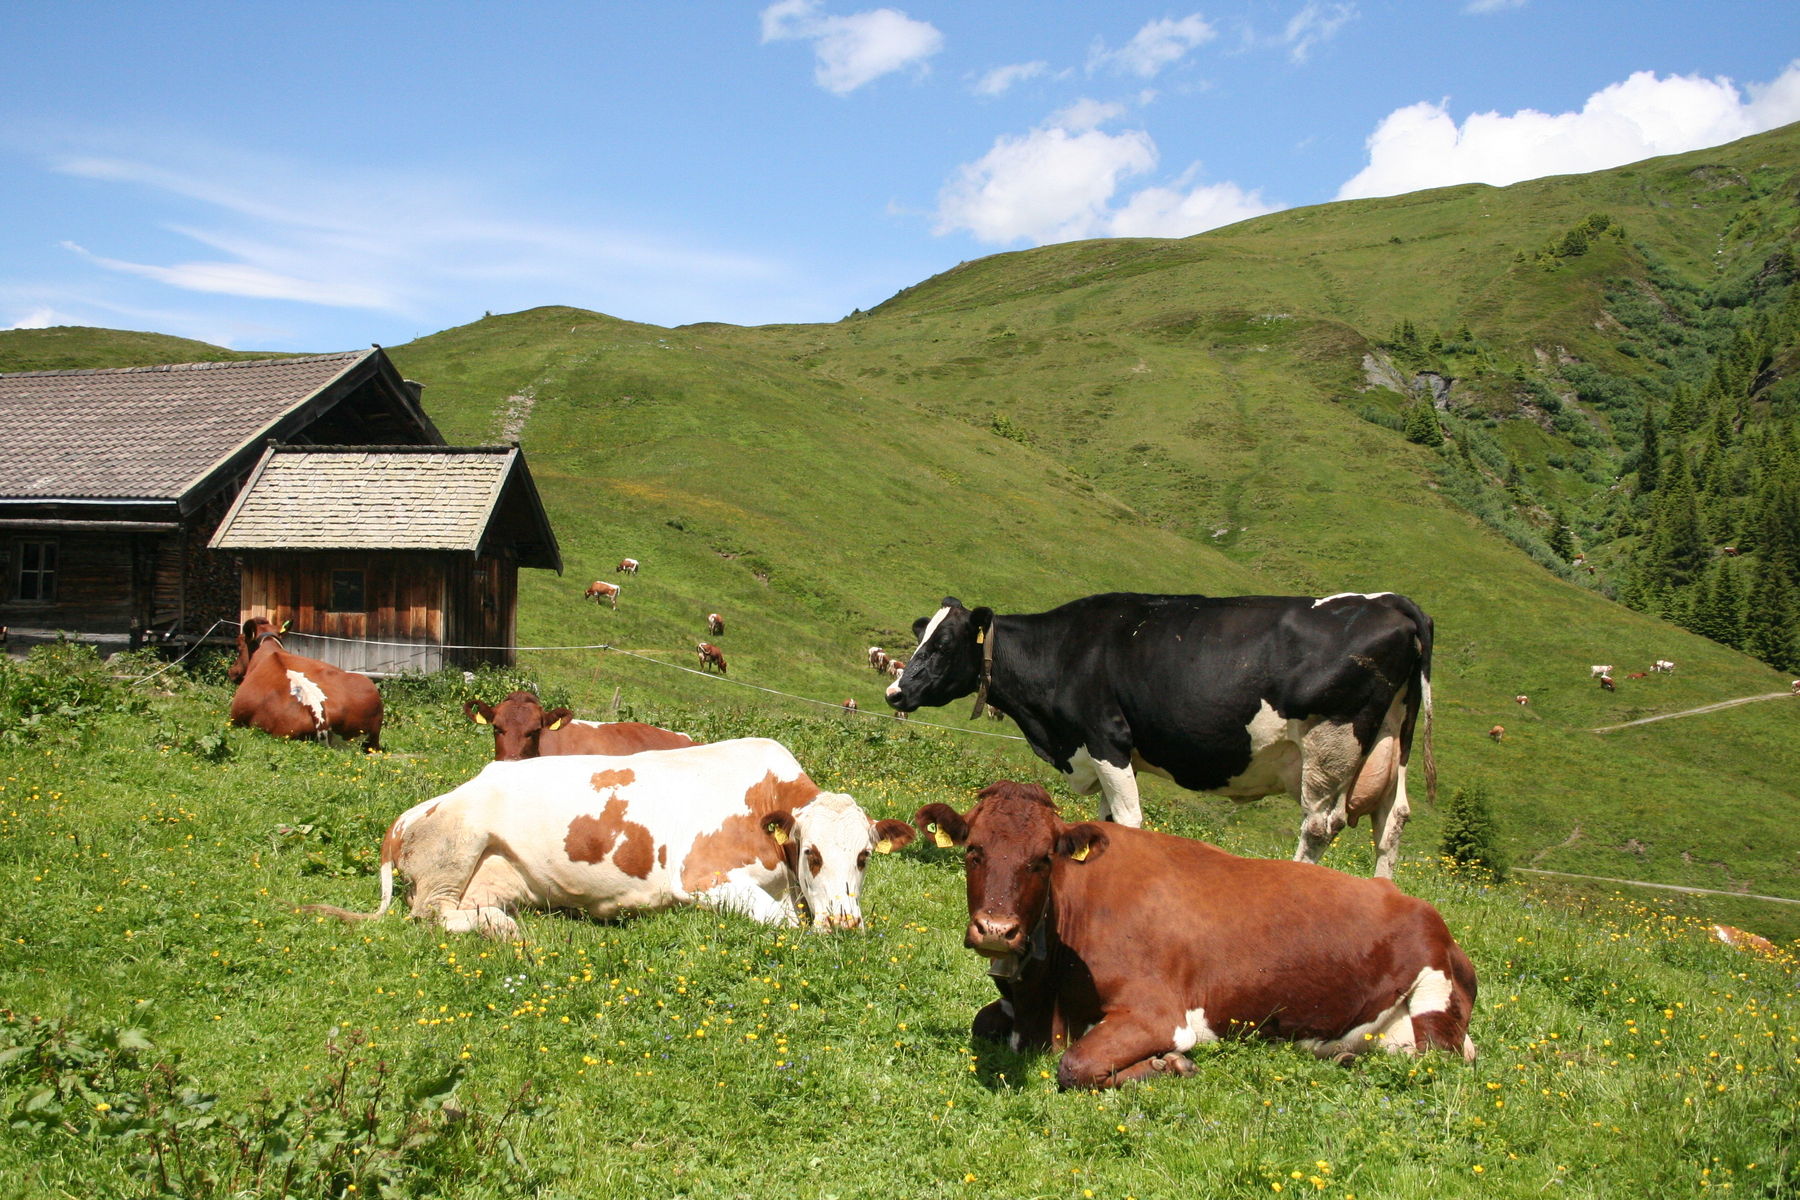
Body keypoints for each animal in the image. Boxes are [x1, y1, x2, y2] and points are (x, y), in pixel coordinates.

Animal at [307, 737, 914, 942]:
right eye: (812, 853)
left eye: (864, 856)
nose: (845, 924)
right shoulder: (700, 878)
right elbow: (786, 924)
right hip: (460, 842)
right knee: (427, 914)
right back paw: (504, 931)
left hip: (499, 878)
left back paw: (501, 924)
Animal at [885, 597, 1432, 877]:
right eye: (921, 637)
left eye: (942, 645)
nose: (895, 691)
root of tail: (1391, 603)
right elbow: (1105, 821)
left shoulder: (1106, 739)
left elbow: (1129, 820)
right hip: (1391, 747)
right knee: (1392, 825)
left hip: (1330, 747)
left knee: (1319, 825)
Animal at [914, 784, 1476, 1093]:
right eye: (974, 850)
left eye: (1043, 858)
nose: (996, 930)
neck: (1044, 1005)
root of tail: (1411, 900)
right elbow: (983, 1022)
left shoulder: (1158, 1012)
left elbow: (1074, 1066)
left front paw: (1171, 1064)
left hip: (1433, 996)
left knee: (1434, 1061)